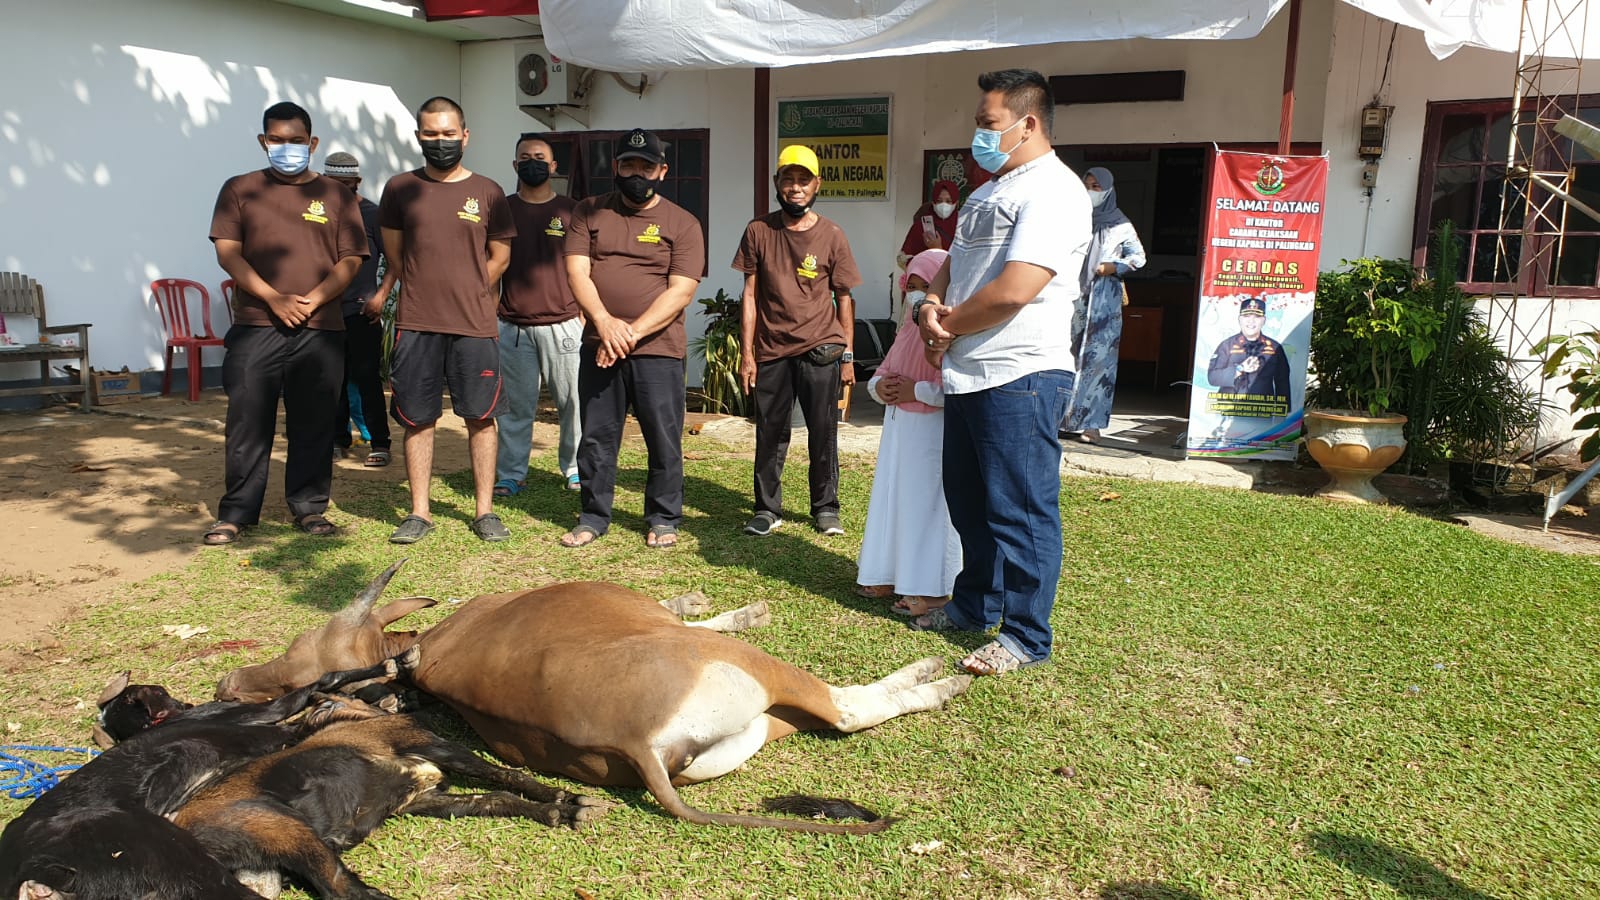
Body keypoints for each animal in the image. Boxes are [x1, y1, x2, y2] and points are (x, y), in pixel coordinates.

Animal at [219, 560, 972, 832]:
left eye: (299, 661)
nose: (231, 685)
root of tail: (634, 742)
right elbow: (698, 616)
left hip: (761, 727)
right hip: (764, 677)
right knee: (847, 711)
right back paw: (939, 677)